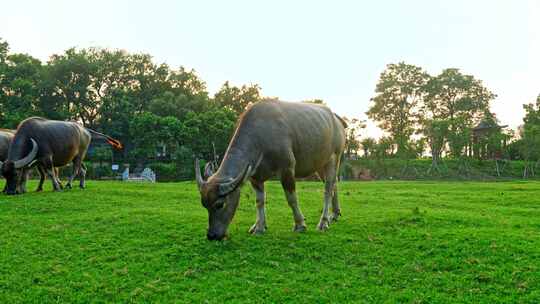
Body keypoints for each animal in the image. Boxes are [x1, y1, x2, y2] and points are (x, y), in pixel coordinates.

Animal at [196, 101, 348, 241]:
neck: (261, 137)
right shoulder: (254, 177)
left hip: (334, 157)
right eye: (204, 204)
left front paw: (300, 224)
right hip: (320, 165)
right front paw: (259, 226)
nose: (212, 235)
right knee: (334, 184)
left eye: (220, 204)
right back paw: (334, 214)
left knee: (328, 189)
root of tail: (337, 119)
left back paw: (323, 222)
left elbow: (291, 199)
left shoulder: (287, 168)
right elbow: (259, 201)